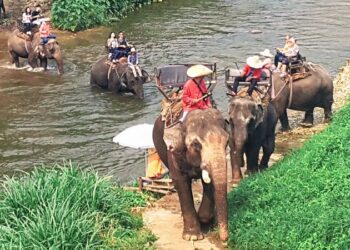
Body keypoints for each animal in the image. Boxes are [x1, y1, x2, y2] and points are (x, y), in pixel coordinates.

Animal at [152, 108, 230, 241]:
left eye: (227, 142)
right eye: (196, 144)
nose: (224, 239)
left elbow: (209, 183)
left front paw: (204, 219)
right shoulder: (173, 153)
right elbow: (180, 182)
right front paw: (192, 237)